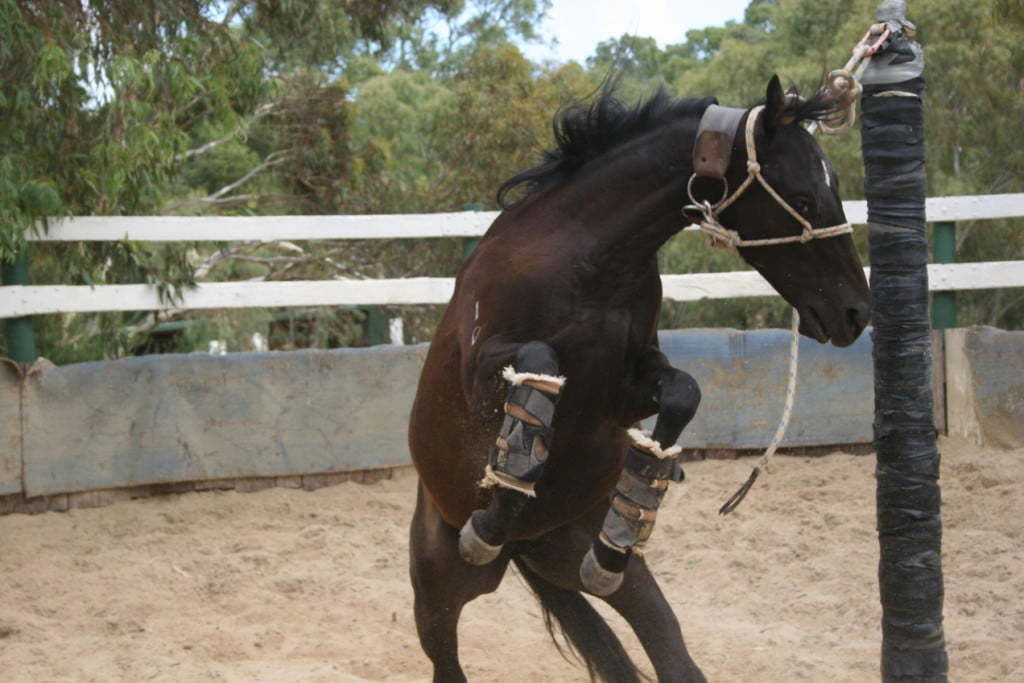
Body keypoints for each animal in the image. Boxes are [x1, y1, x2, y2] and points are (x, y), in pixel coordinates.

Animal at [407, 75, 871, 682]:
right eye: (803, 199)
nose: (856, 314)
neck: (587, 260)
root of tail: (525, 547)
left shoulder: (624, 391)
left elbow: (683, 391)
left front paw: (641, 491)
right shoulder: (480, 371)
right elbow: (541, 363)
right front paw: (499, 499)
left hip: (606, 578)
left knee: (670, 653)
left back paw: (604, 550)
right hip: (436, 600)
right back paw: (491, 531)